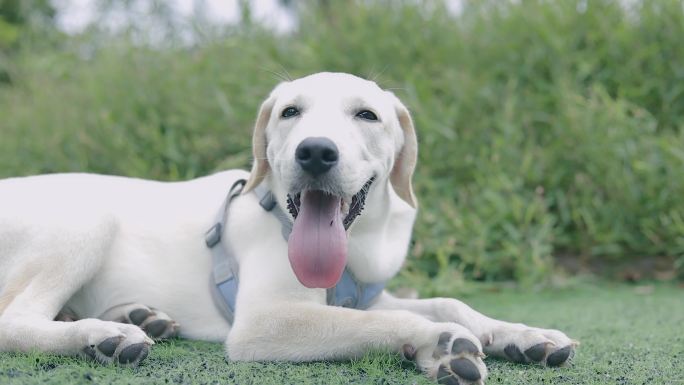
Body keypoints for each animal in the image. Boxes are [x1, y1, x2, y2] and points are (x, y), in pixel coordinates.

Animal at [0, 73, 576, 384]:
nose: (315, 151)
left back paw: (140, 317)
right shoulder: (264, 322)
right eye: (290, 112)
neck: (358, 243)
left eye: (367, 116)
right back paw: (103, 335)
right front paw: (439, 343)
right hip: (85, 217)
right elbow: (382, 323)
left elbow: (450, 302)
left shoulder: (367, 293)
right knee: (15, 320)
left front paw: (527, 335)